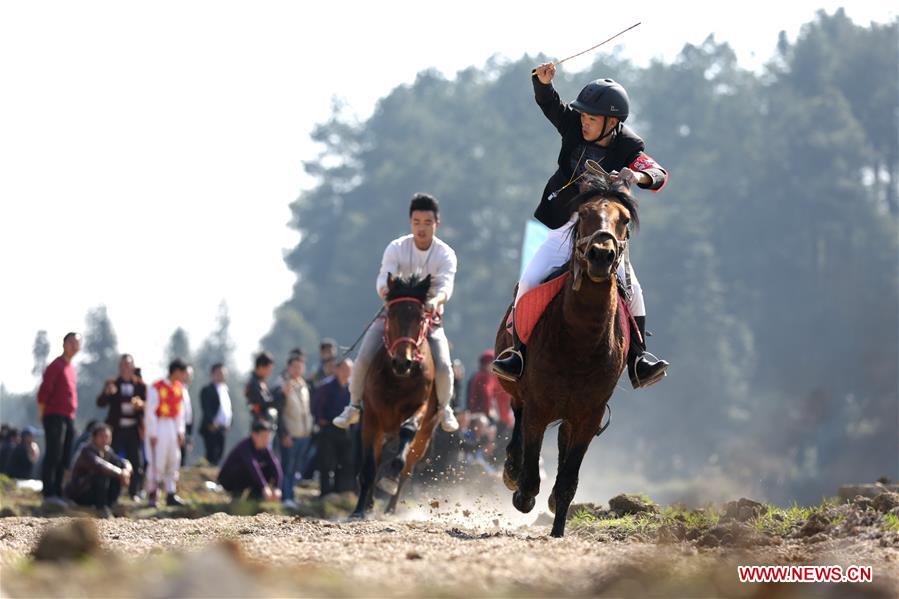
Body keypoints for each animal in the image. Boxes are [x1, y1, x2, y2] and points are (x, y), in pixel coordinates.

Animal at [352, 274, 440, 516]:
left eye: (420, 317)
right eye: (391, 314)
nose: (403, 362)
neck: (398, 380)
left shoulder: (420, 407)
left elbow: (408, 431)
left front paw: (390, 479)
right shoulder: (371, 416)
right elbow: (369, 466)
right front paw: (359, 509)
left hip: (425, 437)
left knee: (408, 469)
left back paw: (391, 507)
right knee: (377, 457)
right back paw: (368, 503)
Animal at [496, 175, 636, 540]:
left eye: (624, 219)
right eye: (583, 213)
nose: (601, 254)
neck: (581, 341)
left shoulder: (588, 414)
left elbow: (569, 479)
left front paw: (558, 526)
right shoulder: (538, 405)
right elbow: (531, 472)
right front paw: (523, 493)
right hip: (520, 391)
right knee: (518, 422)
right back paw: (512, 469)